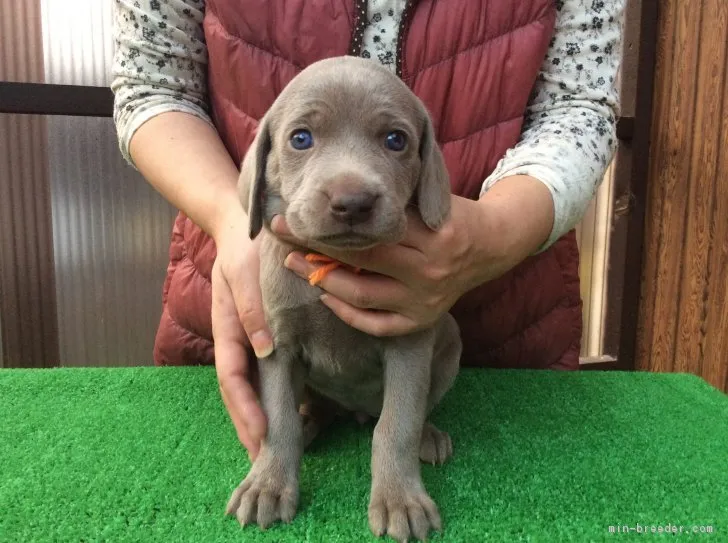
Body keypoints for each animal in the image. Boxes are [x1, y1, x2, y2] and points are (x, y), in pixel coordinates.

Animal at [226, 56, 460, 543]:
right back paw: (310, 422)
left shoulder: (409, 342)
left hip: (450, 341)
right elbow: (278, 418)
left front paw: (400, 500)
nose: (352, 202)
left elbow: (397, 423)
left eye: (396, 140)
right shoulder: (277, 343)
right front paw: (267, 484)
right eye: (300, 138)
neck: (335, 262)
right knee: (311, 408)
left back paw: (428, 435)